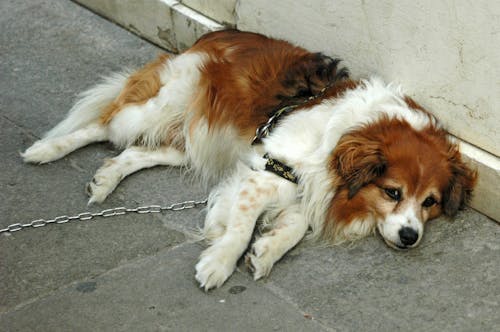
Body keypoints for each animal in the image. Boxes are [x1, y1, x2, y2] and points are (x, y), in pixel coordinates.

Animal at [22, 31, 476, 290]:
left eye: (430, 202)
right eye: (392, 192)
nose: (410, 237)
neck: (341, 136)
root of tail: (210, 37)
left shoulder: (303, 188)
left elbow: (293, 228)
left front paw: (268, 250)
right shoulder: (267, 172)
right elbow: (239, 230)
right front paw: (220, 262)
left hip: (192, 139)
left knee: (134, 152)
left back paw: (106, 180)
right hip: (156, 107)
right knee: (100, 124)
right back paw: (46, 150)